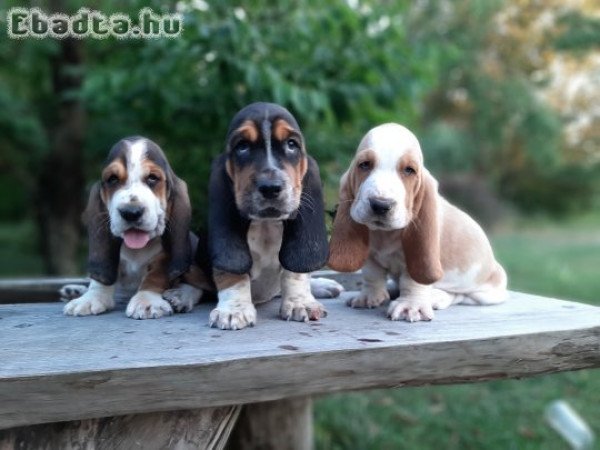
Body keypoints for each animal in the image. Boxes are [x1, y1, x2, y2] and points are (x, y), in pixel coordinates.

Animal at [61, 137, 206, 320]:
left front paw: (146, 301)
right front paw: (90, 298)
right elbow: (101, 278)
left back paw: (179, 296)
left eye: (153, 178)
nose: (131, 212)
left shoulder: (163, 258)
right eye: (112, 179)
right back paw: (74, 290)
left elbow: (154, 277)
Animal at [206, 102, 344, 330]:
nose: (270, 188)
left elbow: (294, 273)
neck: (266, 225)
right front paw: (234, 310)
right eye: (242, 146)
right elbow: (231, 274)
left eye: (291, 144)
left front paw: (300, 303)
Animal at [328, 123, 506, 320]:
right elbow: (372, 275)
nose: (380, 205)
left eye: (409, 170)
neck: (384, 235)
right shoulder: (370, 256)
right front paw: (368, 297)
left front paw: (410, 306)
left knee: (460, 295)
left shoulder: (415, 259)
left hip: (486, 291)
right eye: (364, 165)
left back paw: (435, 296)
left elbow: (412, 281)